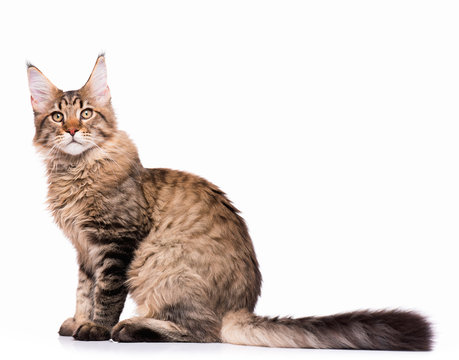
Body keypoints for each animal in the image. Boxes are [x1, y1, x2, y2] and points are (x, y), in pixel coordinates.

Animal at [27, 54, 434, 350]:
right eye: (58, 116)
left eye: (87, 114)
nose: (73, 130)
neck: (76, 171)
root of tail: (241, 307)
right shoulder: (85, 250)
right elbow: (84, 291)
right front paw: (80, 320)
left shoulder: (117, 241)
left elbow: (106, 293)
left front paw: (96, 328)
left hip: (162, 265)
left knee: (205, 332)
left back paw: (131, 328)